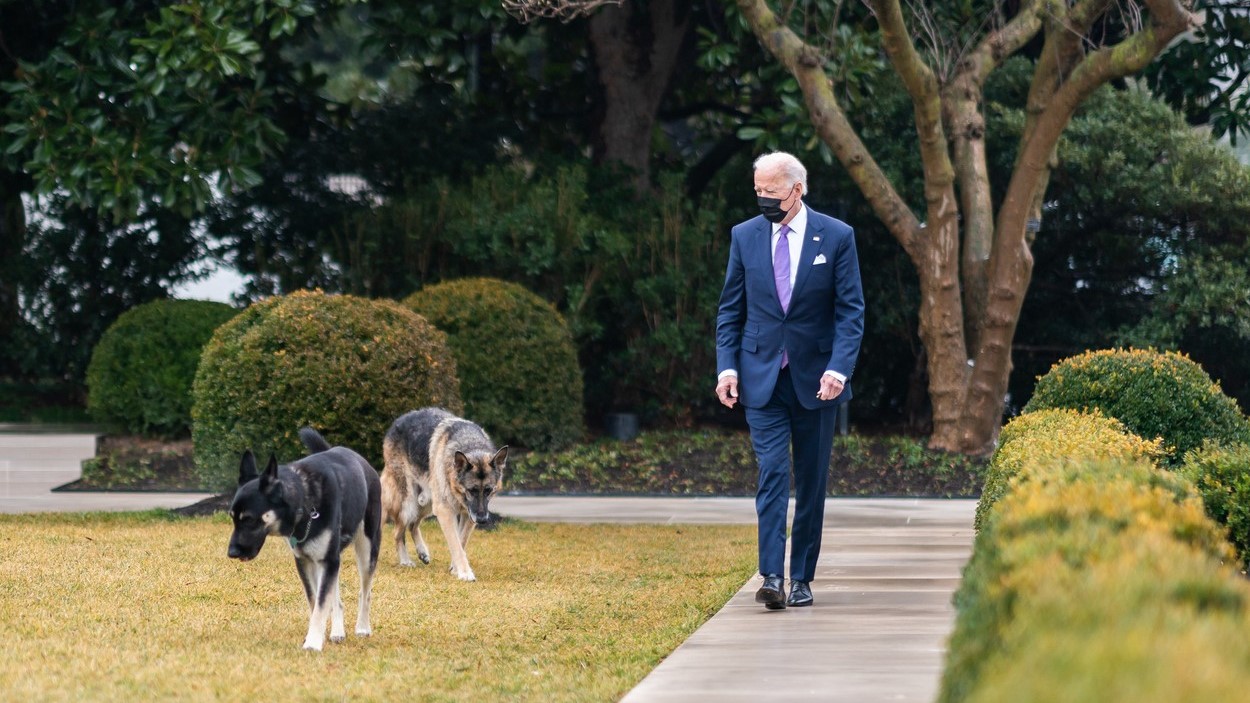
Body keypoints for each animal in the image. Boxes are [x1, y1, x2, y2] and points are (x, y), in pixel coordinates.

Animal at [225, 425, 380, 650]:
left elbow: (321, 604)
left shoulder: (327, 560)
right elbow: (316, 601)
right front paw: (315, 636)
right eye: (232, 518)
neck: (304, 501)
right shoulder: (307, 562)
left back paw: (362, 628)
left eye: (249, 519)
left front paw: (313, 643)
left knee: (365, 593)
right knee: (337, 599)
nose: (232, 553)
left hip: (367, 550)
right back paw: (338, 632)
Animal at [377, 405, 505, 580]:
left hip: (427, 503)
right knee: (397, 531)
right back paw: (405, 560)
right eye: (471, 490)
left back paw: (422, 552)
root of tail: (398, 421)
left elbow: (461, 541)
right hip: (409, 503)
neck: (470, 444)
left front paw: (455, 568)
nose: (482, 520)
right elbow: (456, 544)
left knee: (412, 526)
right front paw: (465, 572)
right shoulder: (446, 511)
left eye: (488, 490)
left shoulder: (467, 516)